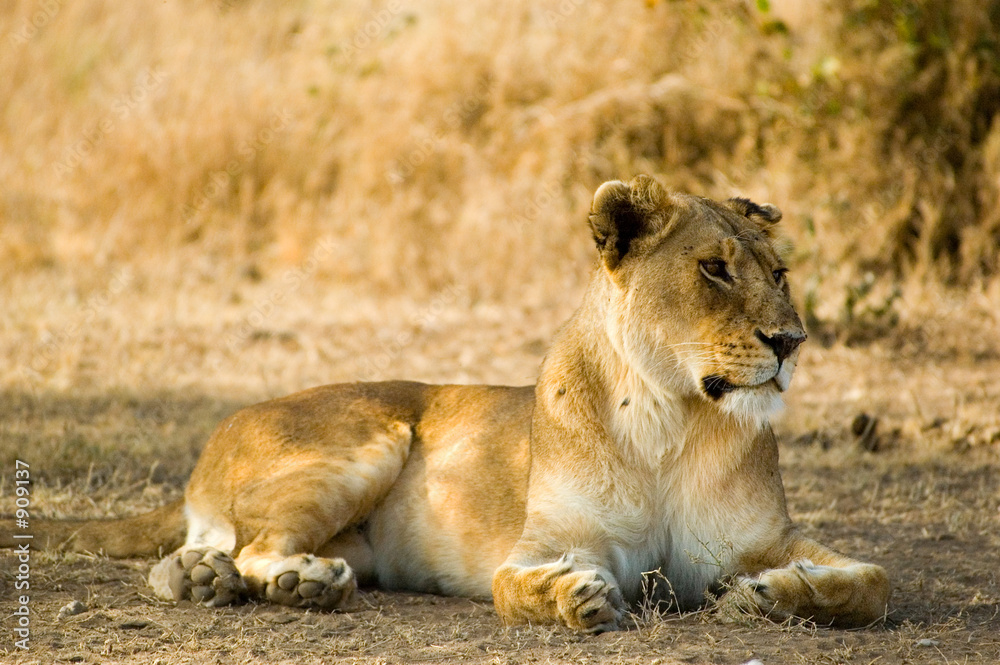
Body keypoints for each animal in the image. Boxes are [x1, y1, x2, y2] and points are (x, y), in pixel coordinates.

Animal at [2, 175, 890, 631]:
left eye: (779, 273)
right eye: (712, 268)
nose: (791, 340)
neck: (674, 418)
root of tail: (214, 437)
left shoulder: (762, 541)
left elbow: (873, 579)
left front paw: (777, 594)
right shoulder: (548, 541)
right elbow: (520, 585)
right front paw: (574, 597)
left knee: (200, 552)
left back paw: (206, 581)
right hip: (367, 439)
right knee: (253, 543)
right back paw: (293, 582)